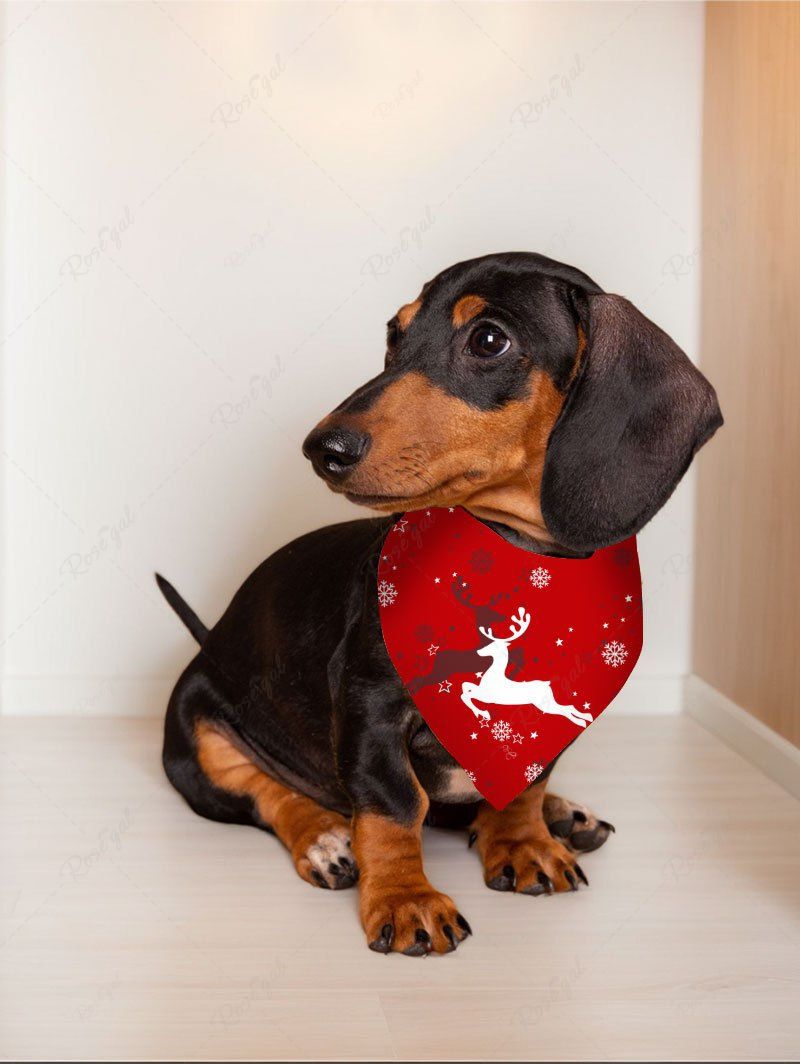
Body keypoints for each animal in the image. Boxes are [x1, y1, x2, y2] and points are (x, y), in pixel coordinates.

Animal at [460, 606, 594, 729]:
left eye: (493, 645)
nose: (478, 651)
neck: (494, 676)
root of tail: (547, 684)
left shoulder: (488, 697)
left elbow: (465, 695)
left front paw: (483, 713)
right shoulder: (481, 690)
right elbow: (465, 686)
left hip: (543, 704)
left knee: (564, 710)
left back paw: (581, 722)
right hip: (548, 702)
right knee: (568, 707)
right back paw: (587, 717)